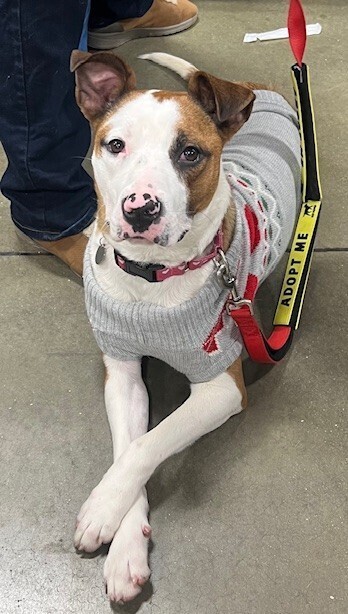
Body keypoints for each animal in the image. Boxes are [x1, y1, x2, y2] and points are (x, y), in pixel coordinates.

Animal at [69, 49, 300, 608]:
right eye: (115, 145)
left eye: (191, 153)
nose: (140, 208)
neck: (151, 279)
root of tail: (256, 87)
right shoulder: (122, 373)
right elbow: (128, 445)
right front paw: (124, 546)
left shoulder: (222, 384)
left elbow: (151, 443)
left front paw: (102, 507)